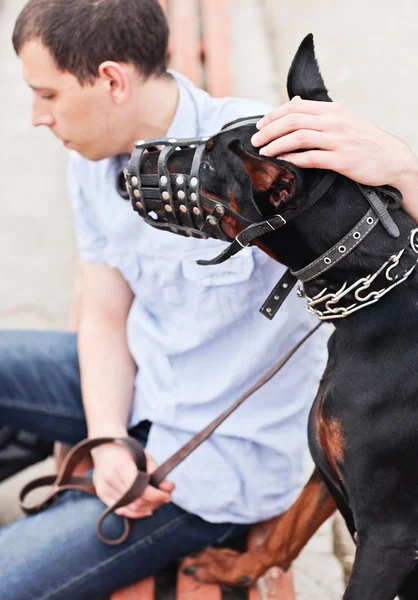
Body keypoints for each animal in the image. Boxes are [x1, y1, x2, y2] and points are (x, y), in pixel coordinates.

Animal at [125, 34, 418, 600]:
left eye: (209, 168)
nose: (134, 158)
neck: (378, 297)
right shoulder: (325, 467)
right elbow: (285, 532)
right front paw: (233, 570)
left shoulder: (391, 535)